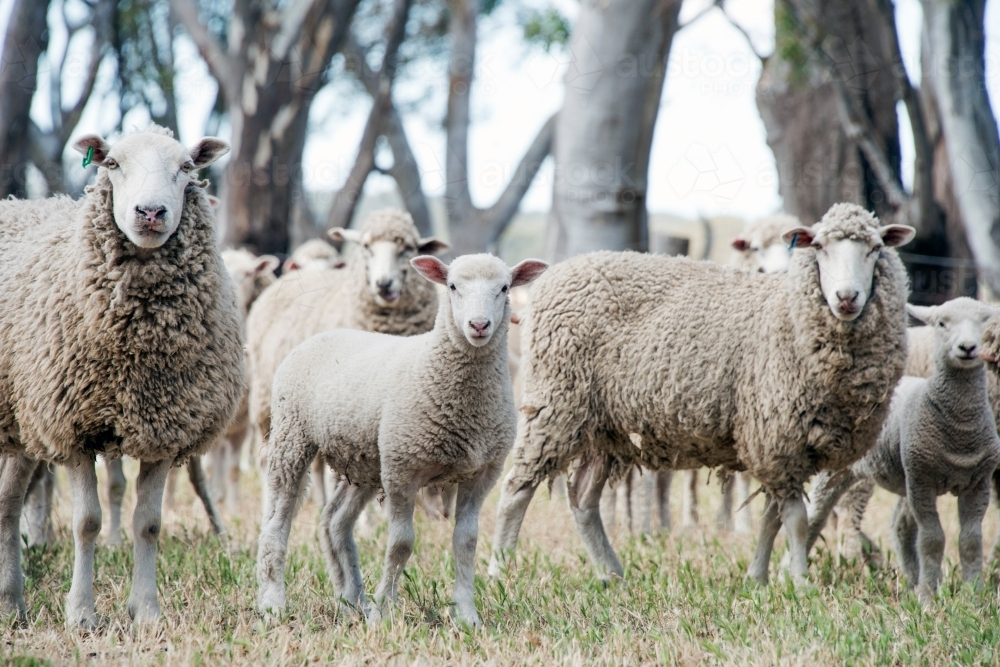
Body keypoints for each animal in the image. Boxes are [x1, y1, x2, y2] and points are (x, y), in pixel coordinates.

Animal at [0, 125, 243, 627]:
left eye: (186, 167)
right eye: (112, 164)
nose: (150, 212)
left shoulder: (165, 429)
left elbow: (147, 524)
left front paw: (146, 611)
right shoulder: (72, 426)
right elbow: (87, 523)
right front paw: (81, 614)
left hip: (22, 425)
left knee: (7, 506)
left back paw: (12, 604)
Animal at [256, 253, 548, 627]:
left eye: (504, 288)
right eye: (452, 286)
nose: (479, 325)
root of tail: (322, 335)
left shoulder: (481, 474)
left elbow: (466, 542)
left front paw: (467, 615)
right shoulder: (402, 470)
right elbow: (401, 544)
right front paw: (384, 612)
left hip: (364, 459)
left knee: (334, 521)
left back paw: (351, 601)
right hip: (292, 435)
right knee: (276, 521)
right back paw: (273, 602)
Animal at [488, 203, 914, 585]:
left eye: (875, 248)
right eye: (820, 247)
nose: (847, 297)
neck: (789, 314)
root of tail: (553, 276)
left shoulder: (780, 445)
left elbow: (773, 518)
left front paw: (758, 579)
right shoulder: (774, 437)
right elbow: (795, 521)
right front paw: (799, 583)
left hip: (602, 426)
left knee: (582, 499)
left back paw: (611, 573)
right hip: (554, 403)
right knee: (515, 489)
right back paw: (498, 572)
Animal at [802, 298, 1000, 603]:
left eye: (983, 323)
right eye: (941, 323)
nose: (967, 347)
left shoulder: (978, 483)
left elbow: (970, 541)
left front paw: (973, 595)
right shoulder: (922, 481)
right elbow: (931, 539)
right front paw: (929, 599)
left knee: (899, 526)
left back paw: (910, 581)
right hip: (841, 471)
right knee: (817, 517)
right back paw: (794, 575)